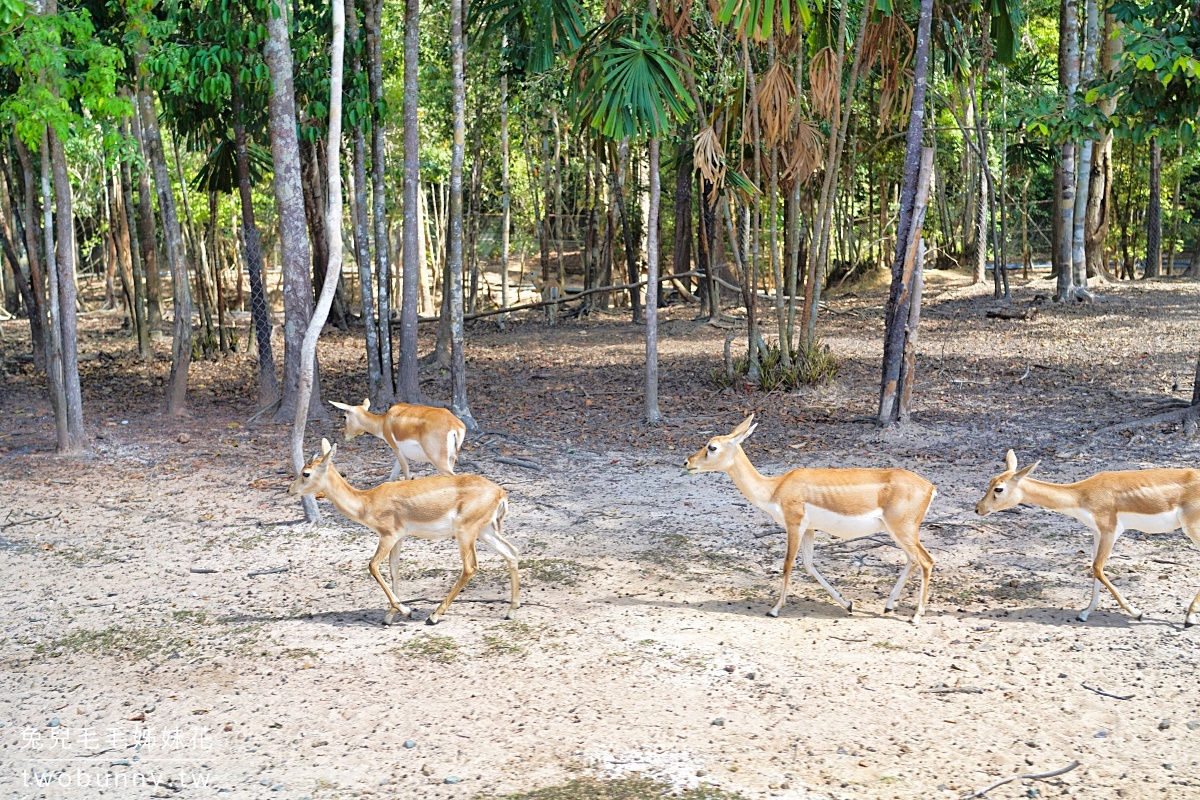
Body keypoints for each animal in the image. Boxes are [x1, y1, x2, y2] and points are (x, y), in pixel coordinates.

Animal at [290, 438, 520, 623]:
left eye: (306, 473)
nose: (290, 489)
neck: (367, 502)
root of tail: (500, 492)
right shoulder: (399, 538)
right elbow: (394, 569)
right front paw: (391, 615)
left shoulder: (388, 535)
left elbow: (373, 566)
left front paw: (405, 610)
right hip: (486, 531)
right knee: (511, 553)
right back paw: (510, 612)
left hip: (466, 532)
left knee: (470, 567)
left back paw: (434, 616)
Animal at [336, 398, 470, 479]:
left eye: (345, 416)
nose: (343, 434)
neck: (383, 423)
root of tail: (455, 425)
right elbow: (392, 475)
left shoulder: (396, 449)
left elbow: (406, 475)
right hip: (451, 457)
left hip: (438, 458)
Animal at [686, 417, 936, 623]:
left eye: (712, 446)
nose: (687, 462)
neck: (775, 488)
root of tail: (930, 487)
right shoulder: (809, 529)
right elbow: (808, 564)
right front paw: (848, 604)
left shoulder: (794, 525)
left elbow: (787, 564)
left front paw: (774, 609)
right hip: (897, 532)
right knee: (913, 560)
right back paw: (888, 606)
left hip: (903, 530)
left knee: (926, 561)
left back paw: (916, 616)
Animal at [974, 450, 1200, 623]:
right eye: (990, 482)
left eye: (998, 489)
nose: (978, 509)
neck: (1082, 494)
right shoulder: (1096, 532)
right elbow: (1094, 570)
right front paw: (1084, 613)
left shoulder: (1110, 530)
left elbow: (1097, 568)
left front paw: (1137, 612)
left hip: (1192, 529)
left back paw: (1189, 618)